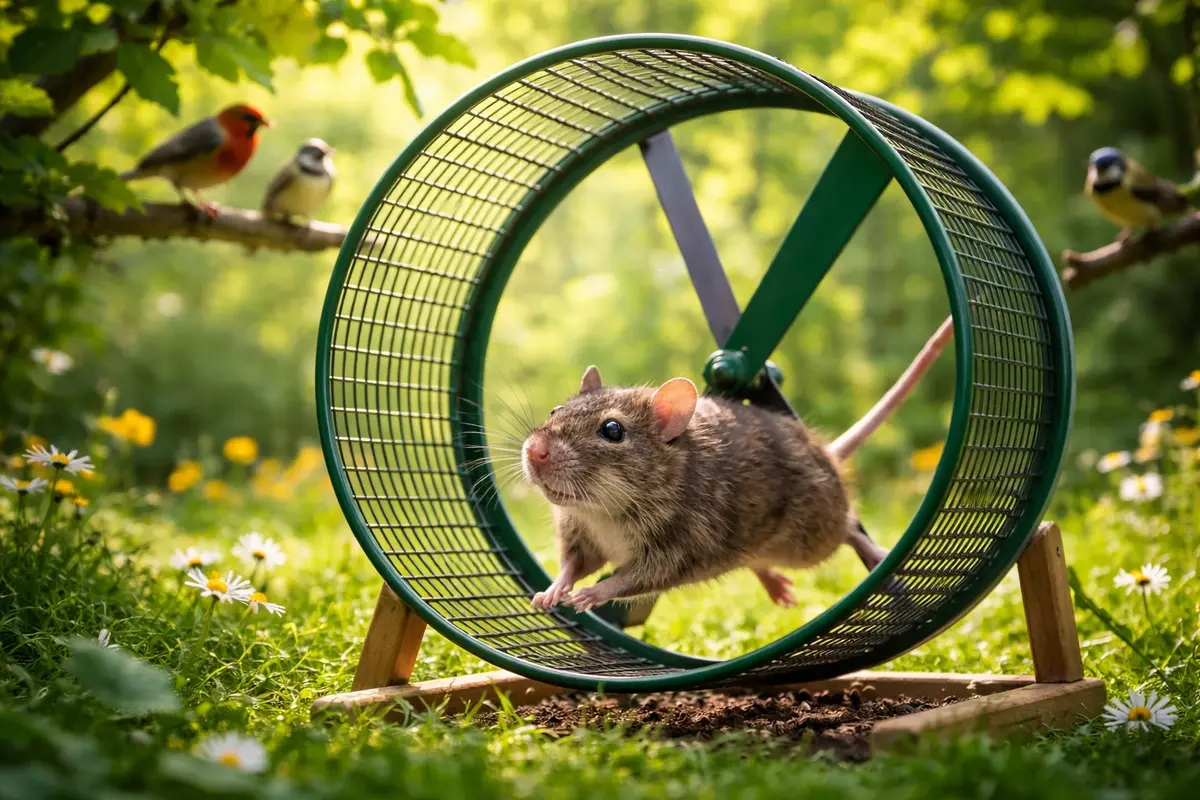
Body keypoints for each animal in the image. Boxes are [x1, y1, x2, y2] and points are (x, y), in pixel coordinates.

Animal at [521, 366, 888, 612]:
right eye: (556, 410)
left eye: (612, 430)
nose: (534, 451)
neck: (603, 510)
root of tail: (828, 456)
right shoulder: (579, 534)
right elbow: (573, 563)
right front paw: (552, 590)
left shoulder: (681, 548)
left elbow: (635, 579)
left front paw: (591, 594)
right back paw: (772, 583)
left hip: (808, 541)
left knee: (848, 527)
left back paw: (875, 552)